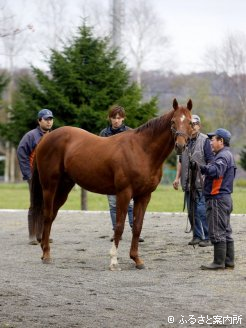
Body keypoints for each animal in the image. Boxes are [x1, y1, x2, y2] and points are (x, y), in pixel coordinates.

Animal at [30, 98, 192, 270]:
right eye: (173, 121)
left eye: (190, 122)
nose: (180, 145)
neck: (142, 150)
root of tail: (45, 139)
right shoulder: (124, 193)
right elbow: (119, 226)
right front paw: (114, 261)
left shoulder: (144, 195)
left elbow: (137, 226)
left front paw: (136, 259)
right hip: (49, 186)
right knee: (47, 215)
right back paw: (47, 254)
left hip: (64, 188)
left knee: (52, 215)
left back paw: (44, 251)